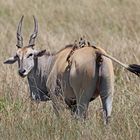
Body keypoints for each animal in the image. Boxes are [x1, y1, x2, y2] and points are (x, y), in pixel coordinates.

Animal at [3, 16, 139, 123]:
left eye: (30, 54)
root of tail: (97, 52)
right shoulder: (72, 104)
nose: (22, 71)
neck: (51, 63)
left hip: (82, 98)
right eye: (17, 56)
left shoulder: (57, 100)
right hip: (107, 95)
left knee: (82, 119)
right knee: (107, 117)